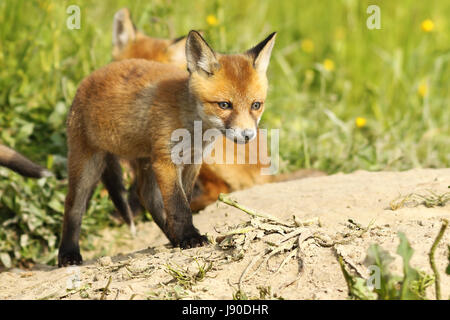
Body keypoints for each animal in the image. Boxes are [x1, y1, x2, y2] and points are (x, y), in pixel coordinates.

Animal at [59, 29, 278, 264]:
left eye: (256, 105)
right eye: (224, 105)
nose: (248, 136)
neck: (193, 128)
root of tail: (88, 78)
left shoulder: (193, 162)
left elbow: (183, 201)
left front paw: (183, 236)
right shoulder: (166, 161)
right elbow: (178, 204)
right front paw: (189, 237)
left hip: (145, 159)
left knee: (146, 195)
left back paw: (171, 236)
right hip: (88, 163)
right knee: (73, 206)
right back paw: (68, 254)